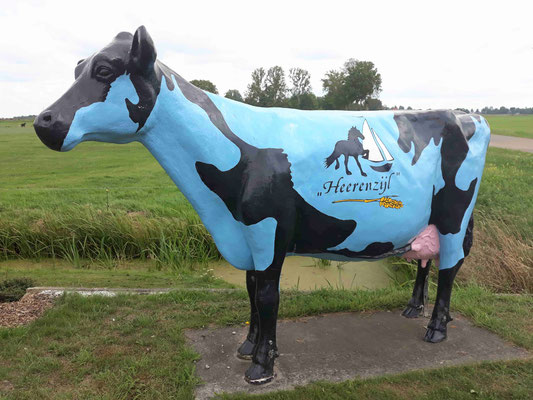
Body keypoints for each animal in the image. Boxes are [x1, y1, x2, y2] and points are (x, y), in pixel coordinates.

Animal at [34, 25, 490, 384]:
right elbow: (251, 289)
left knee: (450, 266)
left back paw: (436, 328)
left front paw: (261, 365)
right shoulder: (244, 232)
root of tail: (467, 115)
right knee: (426, 258)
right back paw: (414, 309)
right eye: (77, 69)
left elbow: (269, 295)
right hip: (430, 219)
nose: (43, 121)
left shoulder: (268, 227)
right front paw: (249, 345)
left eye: (104, 70)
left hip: (455, 212)